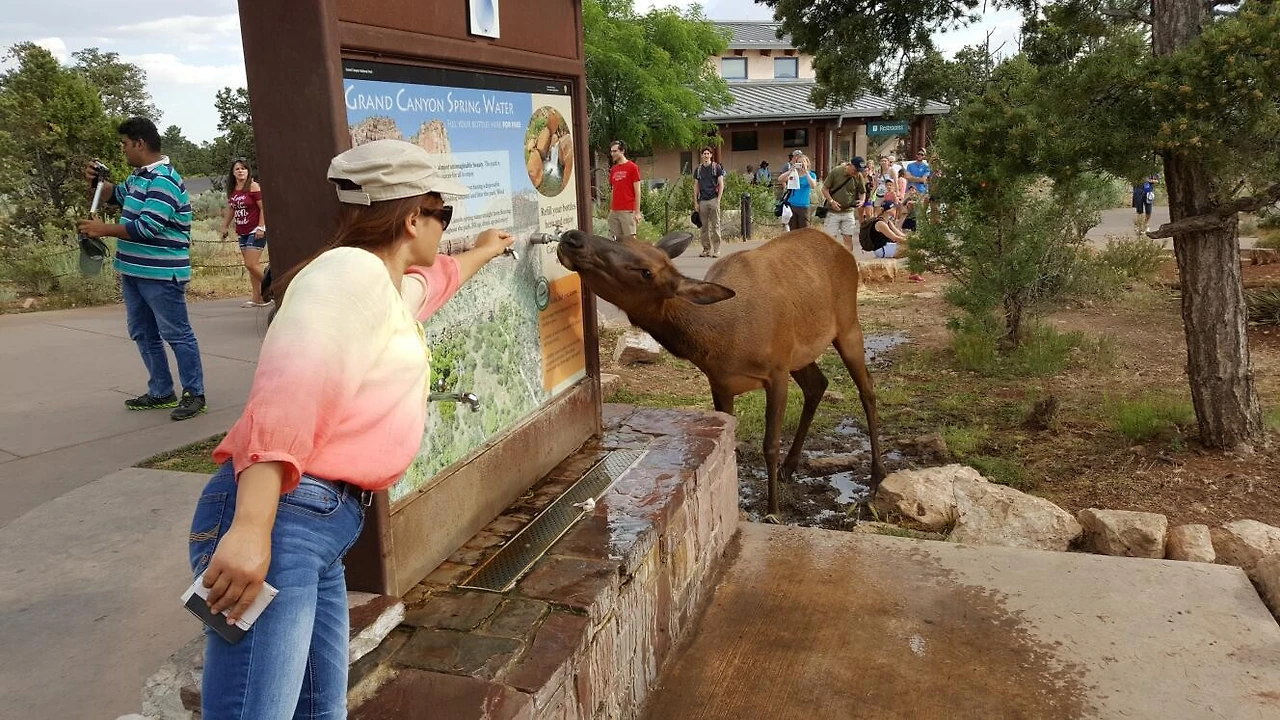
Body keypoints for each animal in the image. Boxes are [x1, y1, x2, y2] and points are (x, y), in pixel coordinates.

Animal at [556, 228, 884, 519]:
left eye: (645, 271)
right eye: (620, 238)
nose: (573, 238)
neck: (723, 341)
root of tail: (841, 248)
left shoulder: (776, 369)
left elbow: (770, 444)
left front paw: (773, 511)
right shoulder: (720, 383)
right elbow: (730, 441)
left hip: (847, 324)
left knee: (867, 388)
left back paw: (876, 475)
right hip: (800, 354)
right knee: (818, 384)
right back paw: (790, 467)